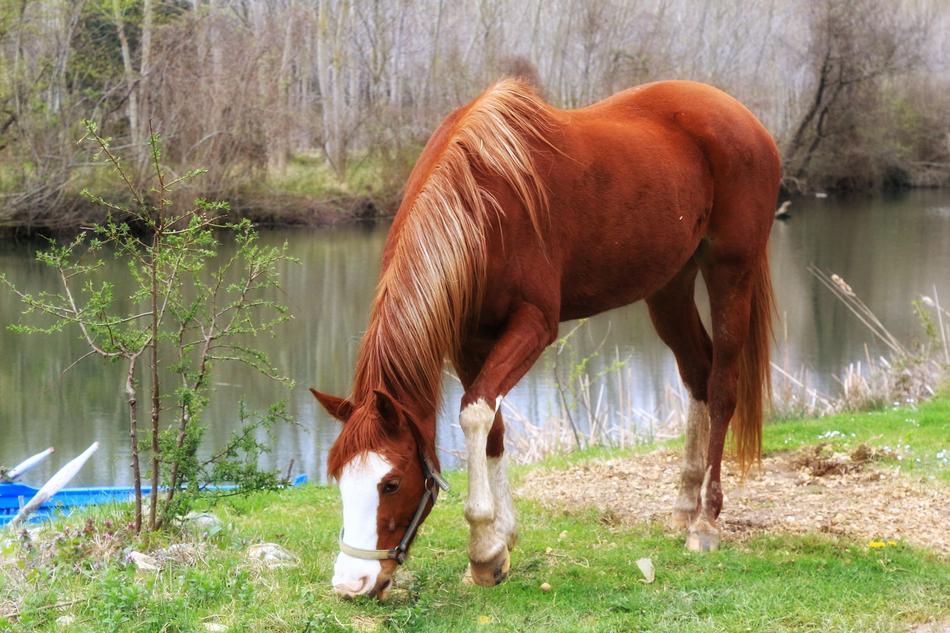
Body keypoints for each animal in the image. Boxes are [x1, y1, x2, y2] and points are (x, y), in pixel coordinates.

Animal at [311, 78, 779, 599]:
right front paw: (502, 543)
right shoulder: (469, 339)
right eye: (338, 477)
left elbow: (474, 413)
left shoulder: (533, 325)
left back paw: (706, 522)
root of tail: (743, 118)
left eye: (390, 483)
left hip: (730, 271)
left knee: (721, 388)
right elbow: (490, 425)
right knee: (697, 372)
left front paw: (483, 550)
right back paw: (683, 506)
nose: (351, 582)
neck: (481, 203)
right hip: (670, 285)